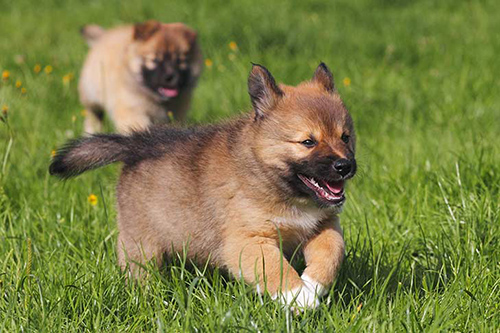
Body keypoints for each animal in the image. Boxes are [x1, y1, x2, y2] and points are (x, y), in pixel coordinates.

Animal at [49, 63, 356, 308]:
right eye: (308, 142)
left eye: (345, 137)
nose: (345, 166)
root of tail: (137, 145)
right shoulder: (247, 240)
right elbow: (274, 268)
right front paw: (297, 296)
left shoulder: (323, 225)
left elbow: (332, 252)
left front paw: (313, 285)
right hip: (141, 244)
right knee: (140, 273)